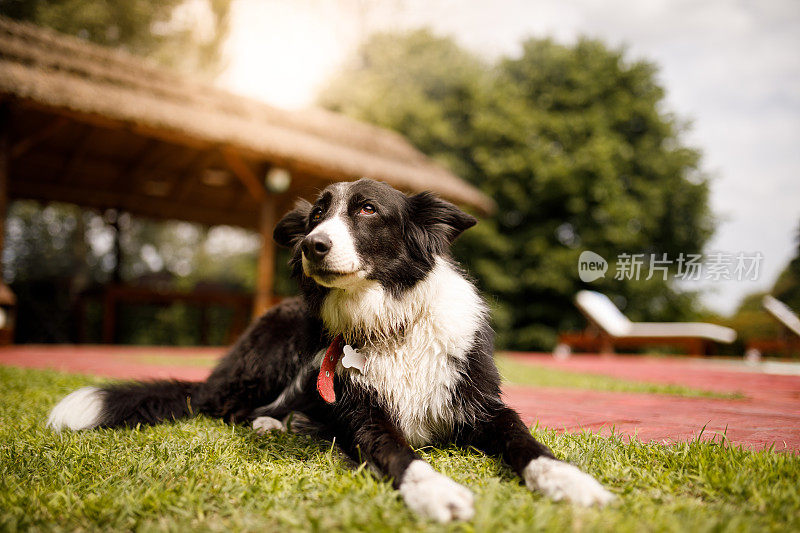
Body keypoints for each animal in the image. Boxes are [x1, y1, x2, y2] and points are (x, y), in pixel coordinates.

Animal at [48, 179, 612, 520]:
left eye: (367, 209)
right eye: (317, 214)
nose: (310, 244)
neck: (390, 322)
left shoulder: (482, 406)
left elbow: (526, 442)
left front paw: (568, 480)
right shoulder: (365, 414)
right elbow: (401, 453)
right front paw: (434, 490)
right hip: (285, 344)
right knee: (229, 407)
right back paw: (277, 422)